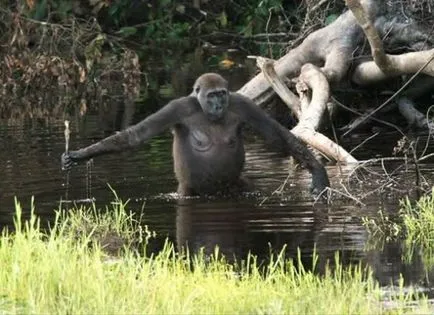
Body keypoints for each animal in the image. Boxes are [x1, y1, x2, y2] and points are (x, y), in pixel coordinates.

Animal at [62, 73, 328, 198]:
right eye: (211, 96)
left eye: (221, 94)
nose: (219, 105)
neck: (204, 109)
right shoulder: (177, 108)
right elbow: (136, 135)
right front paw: (81, 154)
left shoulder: (242, 104)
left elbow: (276, 135)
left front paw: (318, 173)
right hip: (187, 191)